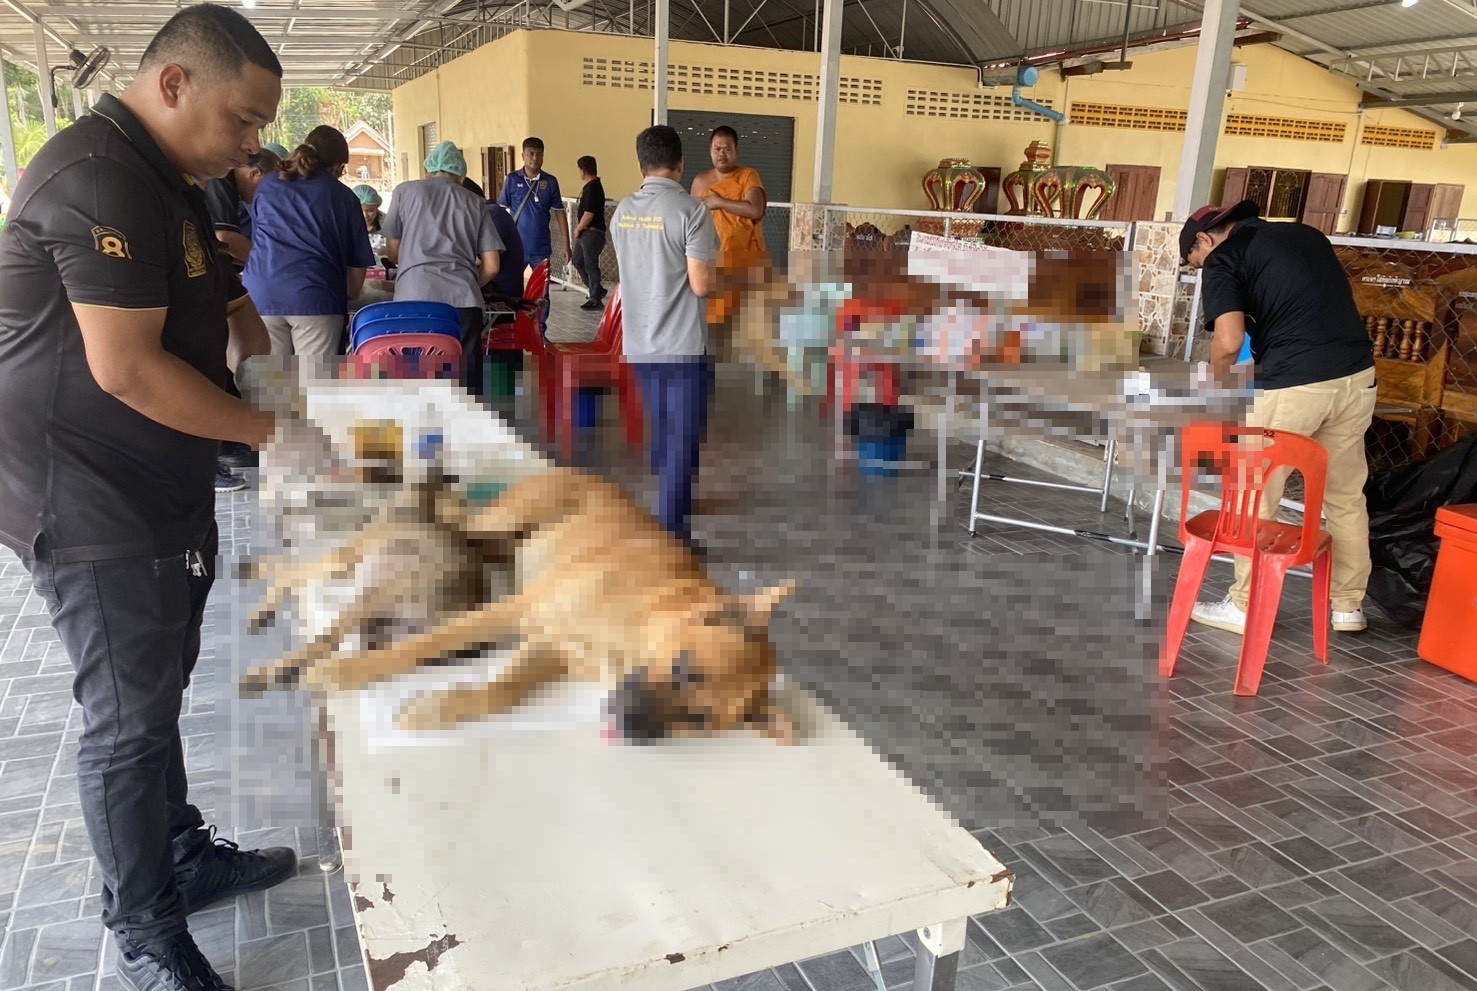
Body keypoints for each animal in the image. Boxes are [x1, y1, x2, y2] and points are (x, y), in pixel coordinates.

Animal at [271, 467, 798, 743]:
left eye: (698, 720)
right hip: (501, 521)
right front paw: (344, 671)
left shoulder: (551, 646)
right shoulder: (514, 611)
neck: (641, 623)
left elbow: (503, 690)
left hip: (496, 542)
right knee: (432, 524)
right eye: (687, 669)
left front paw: (444, 706)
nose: (628, 726)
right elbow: (416, 647)